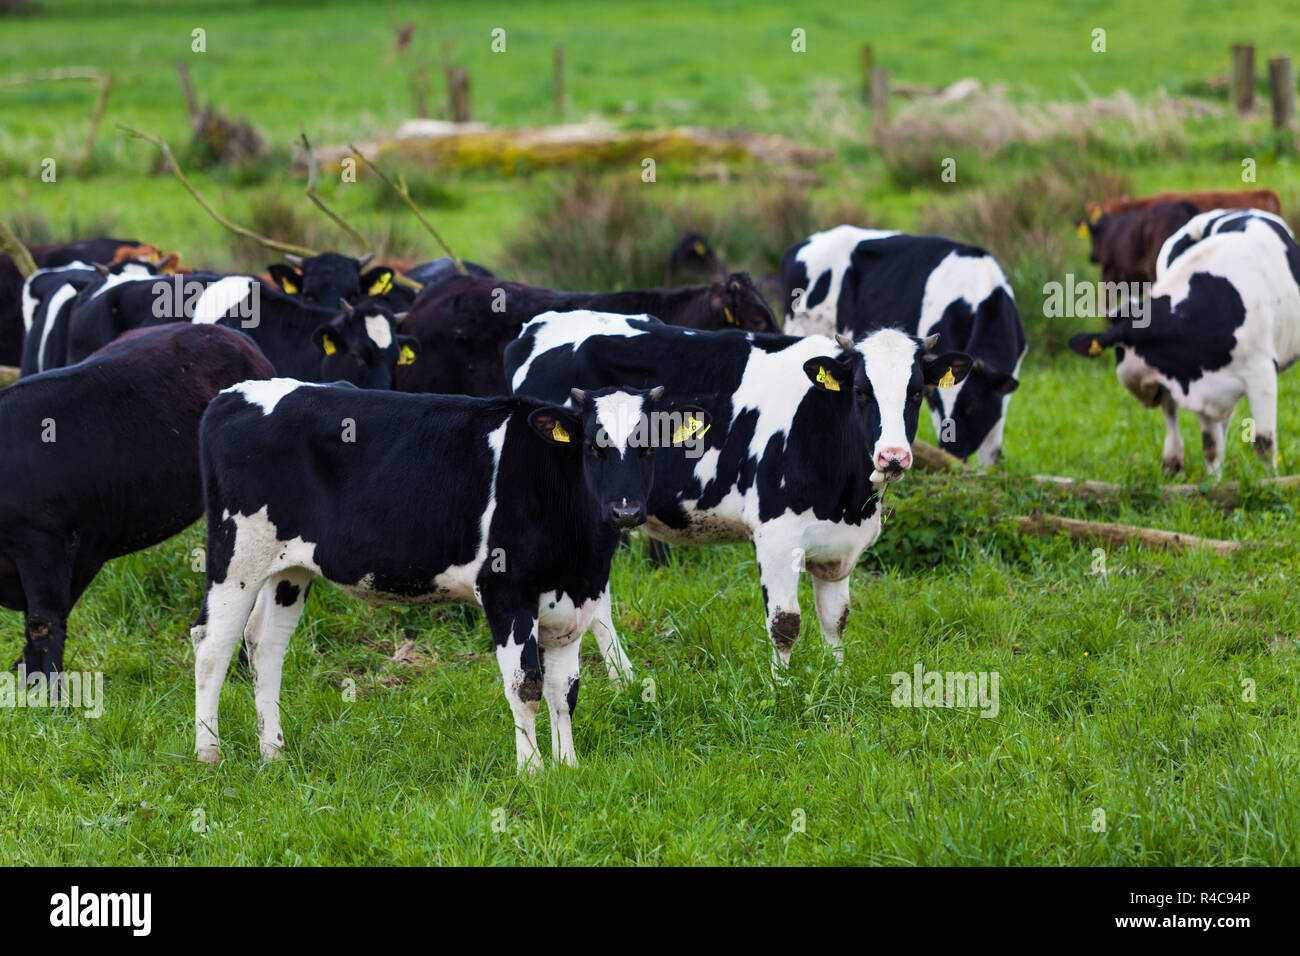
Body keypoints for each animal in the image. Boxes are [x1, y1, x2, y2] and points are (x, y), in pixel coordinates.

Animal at [190, 379, 689, 771]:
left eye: (649, 446)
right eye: (592, 446)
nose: (625, 510)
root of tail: (232, 395)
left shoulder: (573, 604)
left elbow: (564, 693)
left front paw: (568, 767)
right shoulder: (506, 592)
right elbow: (525, 687)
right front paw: (531, 772)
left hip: (289, 567)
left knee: (264, 645)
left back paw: (273, 753)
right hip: (236, 555)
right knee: (213, 642)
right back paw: (209, 754)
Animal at [506, 310, 971, 682]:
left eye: (916, 392)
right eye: (860, 392)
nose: (893, 456)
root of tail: (540, 324)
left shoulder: (839, 546)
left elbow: (836, 619)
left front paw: (837, 679)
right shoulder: (777, 535)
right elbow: (785, 623)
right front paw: (781, 690)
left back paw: (625, 679)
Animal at [1068, 216, 1300, 477]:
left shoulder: (1261, 373)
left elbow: (1262, 441)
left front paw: (1270, 481)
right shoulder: (1196, 379)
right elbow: (1210, 444)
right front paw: (1213, 482)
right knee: (1176, 414)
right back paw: (1173, 463)